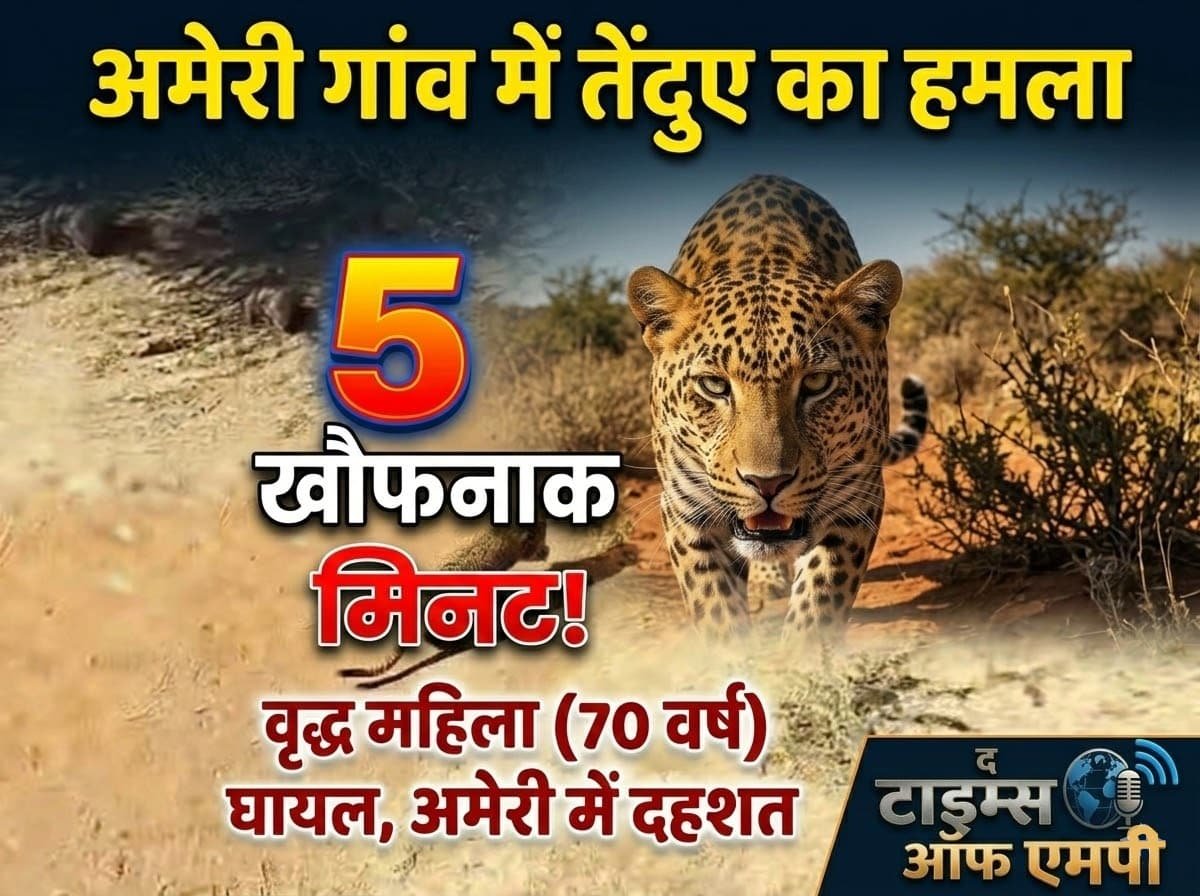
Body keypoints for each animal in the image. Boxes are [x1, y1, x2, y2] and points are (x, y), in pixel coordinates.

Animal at [626, 174, 928, 640]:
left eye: (817, 383)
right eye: (714, 385)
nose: (767, 484)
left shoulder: (857, 500)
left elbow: (820, 602)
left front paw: (800, 654)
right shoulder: (684, 507)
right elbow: (715, 608)